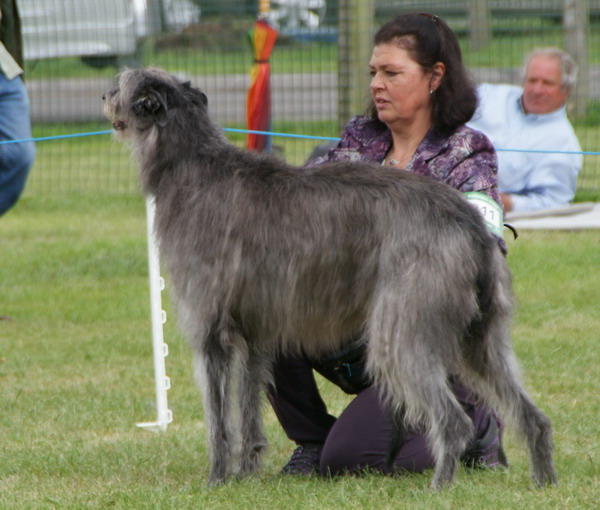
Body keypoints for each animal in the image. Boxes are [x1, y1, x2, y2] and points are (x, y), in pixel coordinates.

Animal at [103, 65, 556, 488]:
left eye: (120, 84)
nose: (104, 96)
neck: (191, 164)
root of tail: (470, 222)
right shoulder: (255, 334)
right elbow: (248, 410)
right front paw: (245, 472)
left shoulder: (210, 330)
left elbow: (218, 420)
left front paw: (216, 478)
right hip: (481, 336)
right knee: (532, 414)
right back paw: (542, 480)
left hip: (403, 330)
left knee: (454, 420)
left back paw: (440, 486)